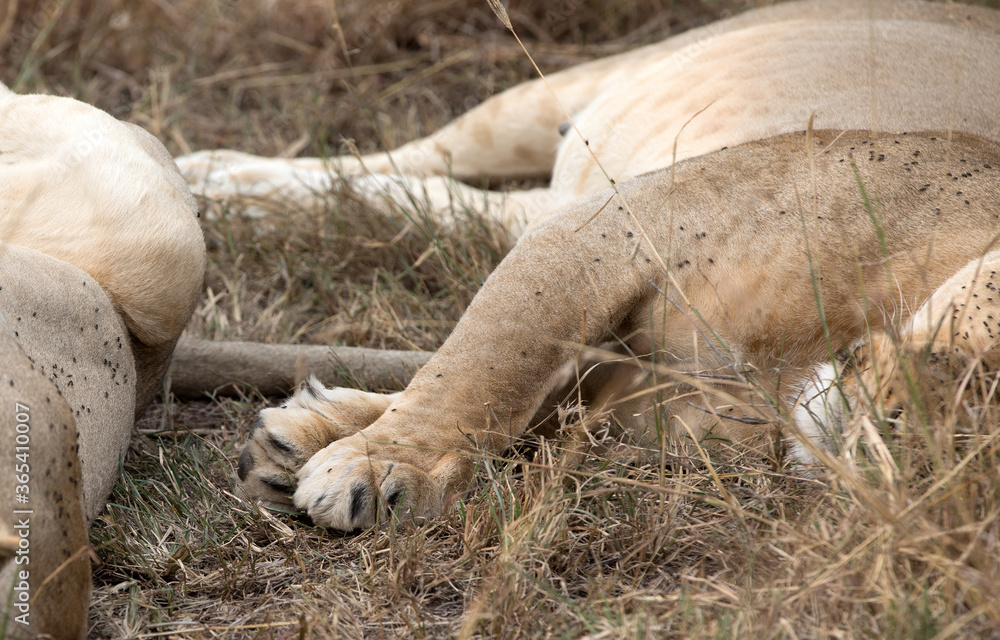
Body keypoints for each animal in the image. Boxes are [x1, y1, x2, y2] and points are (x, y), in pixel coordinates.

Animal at [180, 0, 1000, 532]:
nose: (910, 444)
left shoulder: (632, 396)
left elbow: (515, 398)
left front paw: (331, 433)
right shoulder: (606, 230)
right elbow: (488, 365)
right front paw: (382, 465)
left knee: (441, 201)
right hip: (567, 95)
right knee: (407, 157)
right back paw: (214, 181)